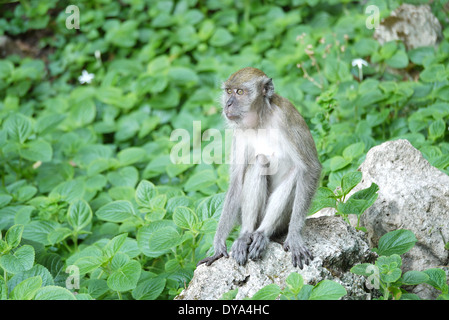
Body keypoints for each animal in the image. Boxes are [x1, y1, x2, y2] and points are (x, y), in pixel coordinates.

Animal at [198, 66, 320, 268]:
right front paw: (218, 247)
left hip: (284, 220)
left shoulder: (286, 116)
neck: (261, 120)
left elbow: (310, 168)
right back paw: (246, 234)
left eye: (240, 92)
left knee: (295, 172)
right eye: (229, 91)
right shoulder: (239, 131)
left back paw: (262, 233)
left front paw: (294, 237)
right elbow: (237, 181)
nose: (228, 104)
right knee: (259, 162)